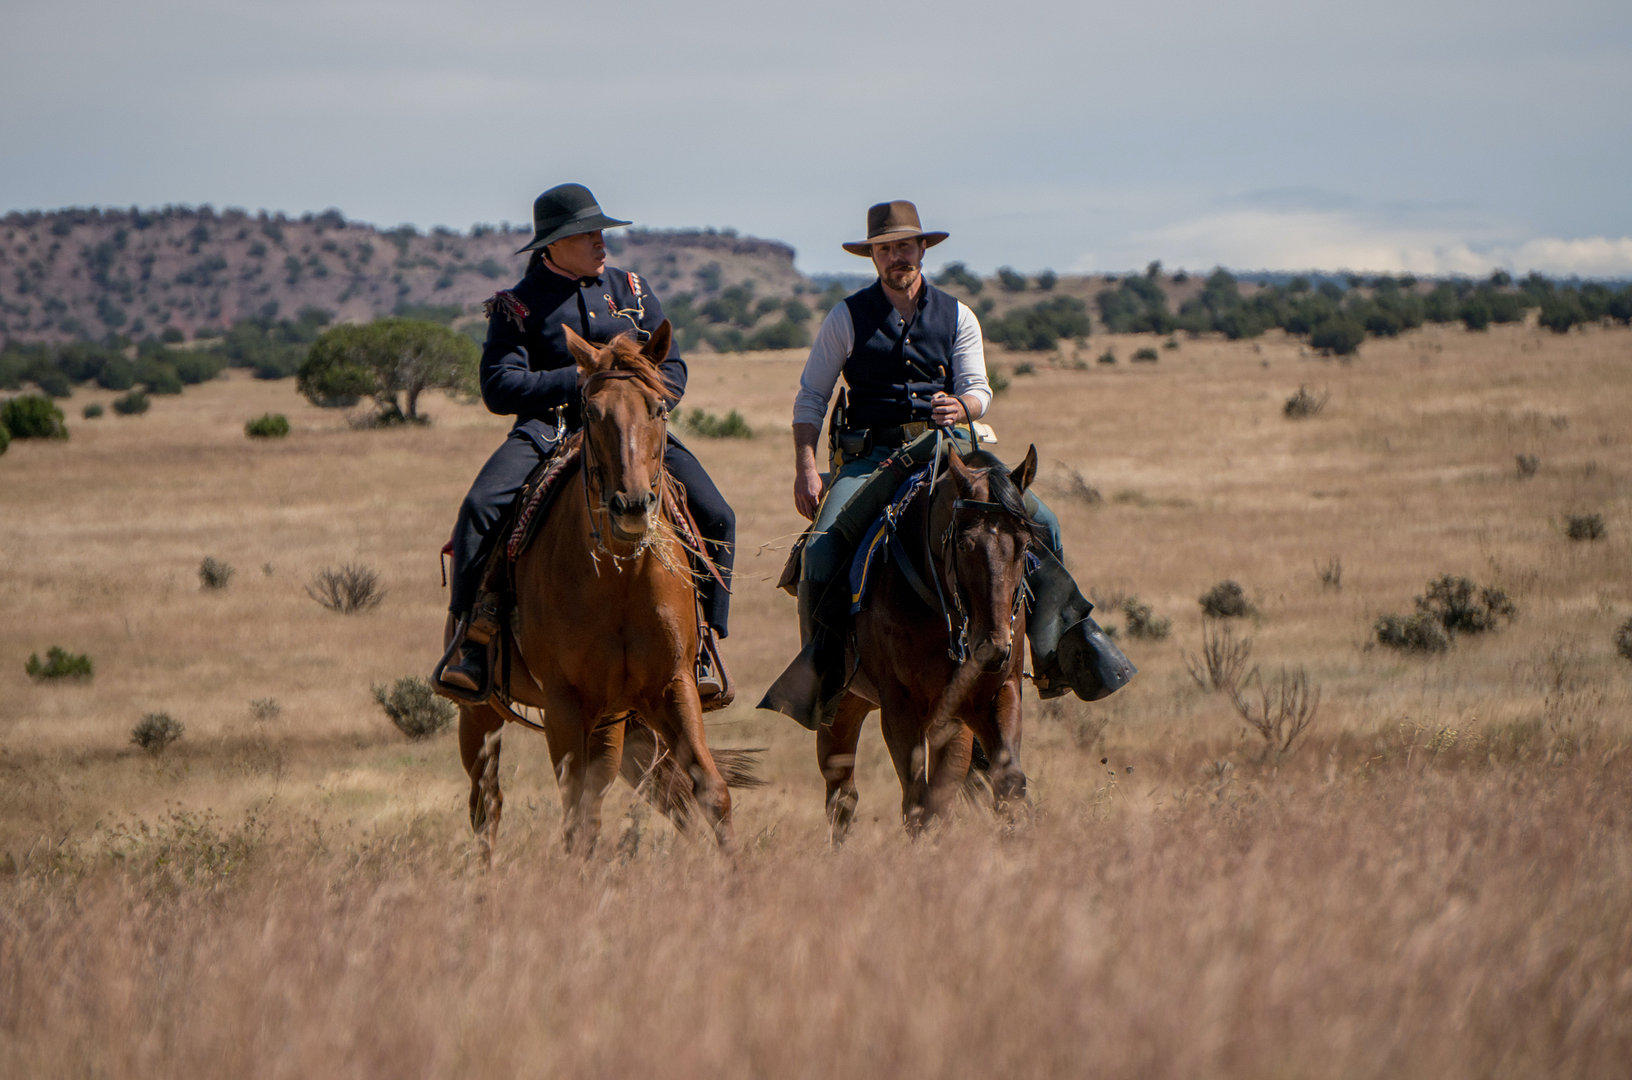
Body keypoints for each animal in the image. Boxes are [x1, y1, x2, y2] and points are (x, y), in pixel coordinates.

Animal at [460, 323, 740, 861]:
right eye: (590, 411)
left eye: (659, 408)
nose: (631, 505)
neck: (621, 578)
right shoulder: (564, 704)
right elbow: (574, 815)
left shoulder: (674, 685)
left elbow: (710, 792)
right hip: (480, 711)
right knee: (487, 802)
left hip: (612, 721)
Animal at [822, 437, 1037, 835]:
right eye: (965, 545)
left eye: (1025, 544)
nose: (993, 648)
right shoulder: (899, 706)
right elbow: (918, 804)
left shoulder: (992, 695)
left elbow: (1007, 784)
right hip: (843, 706)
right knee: (841, 796)